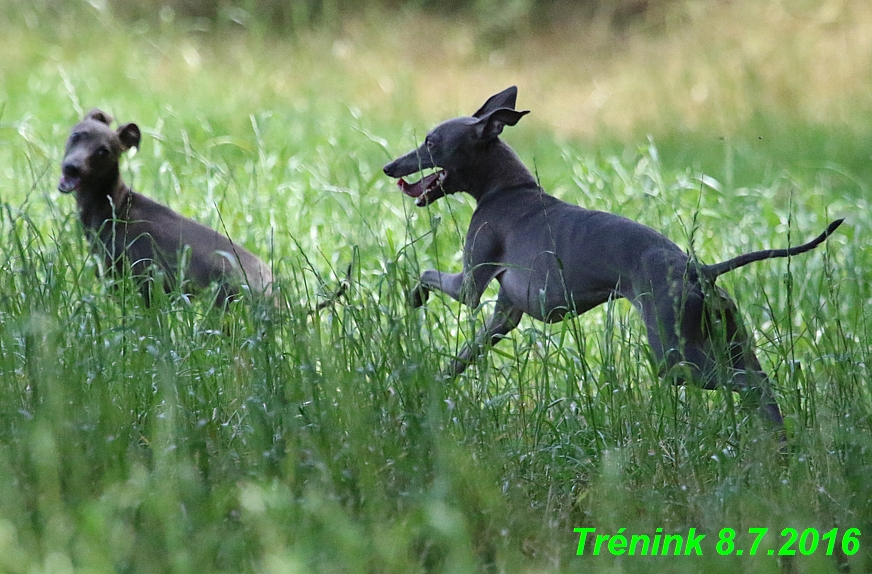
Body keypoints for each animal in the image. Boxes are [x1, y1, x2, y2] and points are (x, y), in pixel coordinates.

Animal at [384, 86, 840, 428]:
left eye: (430, 142)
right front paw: (426, 390)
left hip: (676, 359)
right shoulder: (505, 315)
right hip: (728, 340)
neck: (506, 189)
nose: (390, 167)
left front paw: (414, 297)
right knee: (762, 385)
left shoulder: (471, 284)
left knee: (745, 384)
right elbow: (462, 358)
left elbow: (426, 271)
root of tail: (699, 270)